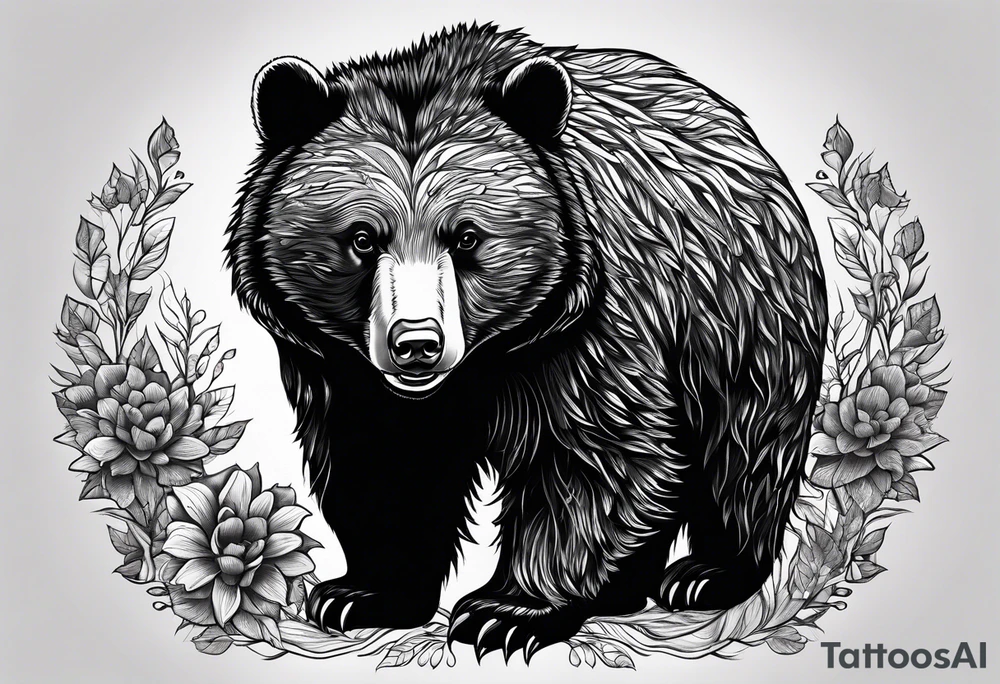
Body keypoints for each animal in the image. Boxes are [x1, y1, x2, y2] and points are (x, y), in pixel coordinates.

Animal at [225, 23, 827, 662]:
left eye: (466, 237)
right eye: (362, 237)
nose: (417, 343)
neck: (485, 360)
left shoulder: (589, 326)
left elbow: (595, 455)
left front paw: (504, 612)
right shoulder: (342, 368)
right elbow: (382, 460)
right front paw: (361, 594)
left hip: (741, 315)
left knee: (742, 445)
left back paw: (707, 573)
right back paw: (627, 589)